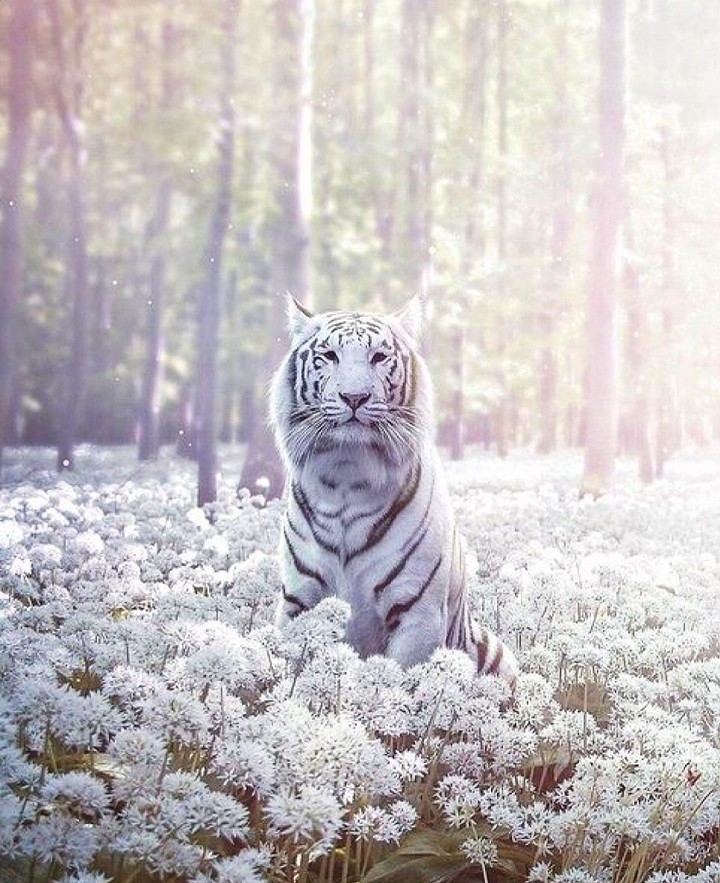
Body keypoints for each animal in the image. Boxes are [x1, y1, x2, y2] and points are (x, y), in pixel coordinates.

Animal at [269, 296, 519, 690]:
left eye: (379, 357)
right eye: (329, 355)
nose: (354, 397)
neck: (347, 478)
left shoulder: (417, 613)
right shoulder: (299, 602)